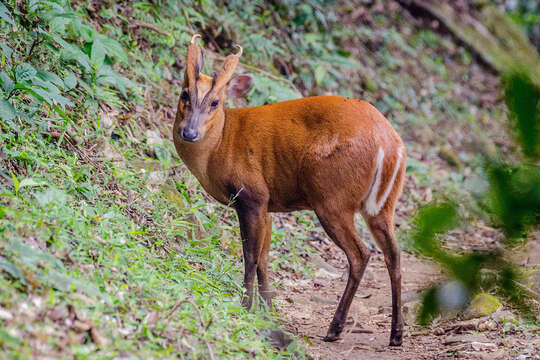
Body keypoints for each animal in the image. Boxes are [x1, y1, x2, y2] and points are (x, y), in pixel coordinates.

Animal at [173, 34, 404, 346]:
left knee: (361, 253)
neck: (221, 144)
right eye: (184, 94)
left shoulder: (251, 195)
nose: (189, 132)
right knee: (394, 253)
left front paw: (246, 308)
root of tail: (390, 145)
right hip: (383, 204)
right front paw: (269, 313)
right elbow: (264, 259)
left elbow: (250, 256)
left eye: (215, 102)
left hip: (331, 197)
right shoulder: (268, 205)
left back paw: (335, 329)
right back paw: (396, 334)